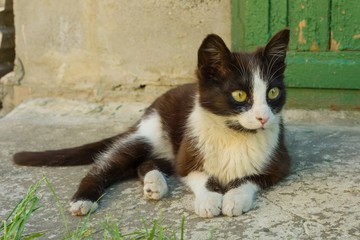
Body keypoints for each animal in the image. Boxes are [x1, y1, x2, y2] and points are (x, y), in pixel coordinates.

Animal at [12, 28, 292, 218]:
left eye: (273, 93)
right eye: (240, 95)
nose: (264, 117)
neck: (235, 134)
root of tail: (153, 105)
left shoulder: (279, 163)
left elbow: (249, 178)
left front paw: (234, 198)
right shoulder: (187, 157)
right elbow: (198, 176)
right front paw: (209, 200)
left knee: (145, 163)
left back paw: (154, 184)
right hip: (151, 132)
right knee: (108, 164)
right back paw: (84, 199)